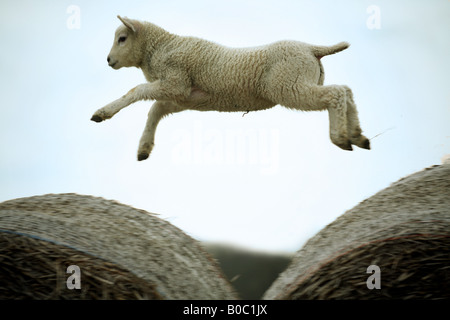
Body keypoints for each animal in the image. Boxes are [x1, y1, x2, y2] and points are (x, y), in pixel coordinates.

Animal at [90, 15, 370, 161]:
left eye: (122, 39)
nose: (109, 60)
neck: (160, 49)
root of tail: (312, 48)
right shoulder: (183, 97)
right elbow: (155, 111)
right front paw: (144, 148)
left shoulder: (176, 82)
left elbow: (136, 91)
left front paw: (103, 113)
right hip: (301, 82)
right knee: (345, 91)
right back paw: (358, 136)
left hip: (290, 86)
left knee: (336, 93)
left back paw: (341, 138)